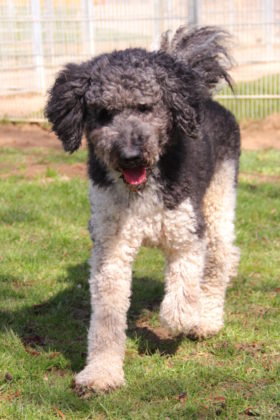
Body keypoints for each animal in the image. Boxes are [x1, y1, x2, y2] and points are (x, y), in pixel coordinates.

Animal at [45, 26, 241, 392]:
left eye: (145, 107)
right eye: (104, 113)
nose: (130, 155)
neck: (141, 190)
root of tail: (202, 96)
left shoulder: (186, 235)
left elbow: (180, 299)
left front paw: (185, 318)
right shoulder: (111, 251)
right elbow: (106, 319)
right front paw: (101, 373)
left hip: (219, 200)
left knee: (222, 258)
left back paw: (207, 319)